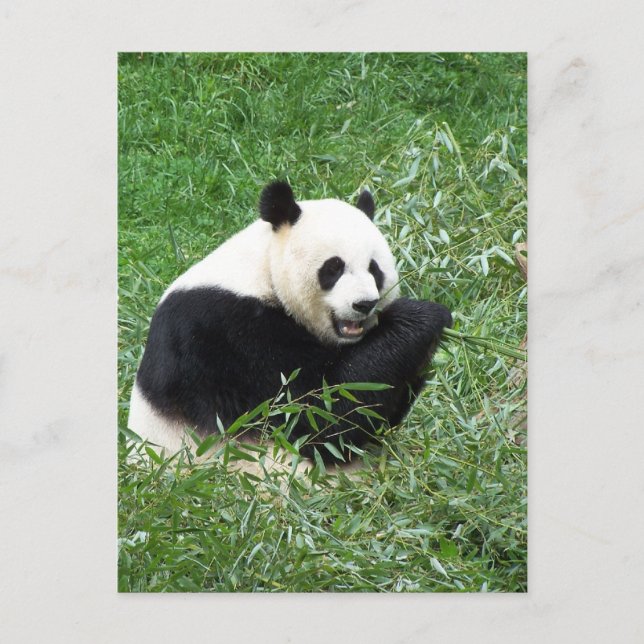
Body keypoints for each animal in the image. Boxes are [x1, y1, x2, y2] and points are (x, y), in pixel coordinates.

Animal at [128, 180, 452, 465]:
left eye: (375, 269)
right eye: (334, 268)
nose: (364, 304)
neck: (263, 272)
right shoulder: (228, 335)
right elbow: (317, 415)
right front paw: (424, 317)